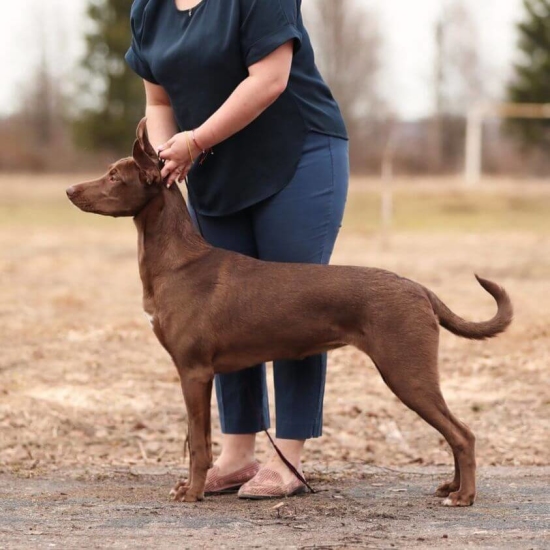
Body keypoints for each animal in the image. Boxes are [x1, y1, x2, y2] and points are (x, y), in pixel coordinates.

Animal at [67, 119, 516, 508]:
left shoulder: (193, 371)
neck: (176, 261)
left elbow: (199, 443)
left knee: (463, 434)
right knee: (456, 433)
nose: (70, 190)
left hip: (406, 371)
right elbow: (199, 439)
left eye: (114, 176)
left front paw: (192, 492)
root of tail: (420, 289)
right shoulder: (199, 371)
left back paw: (463, 495)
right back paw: (452, 486)